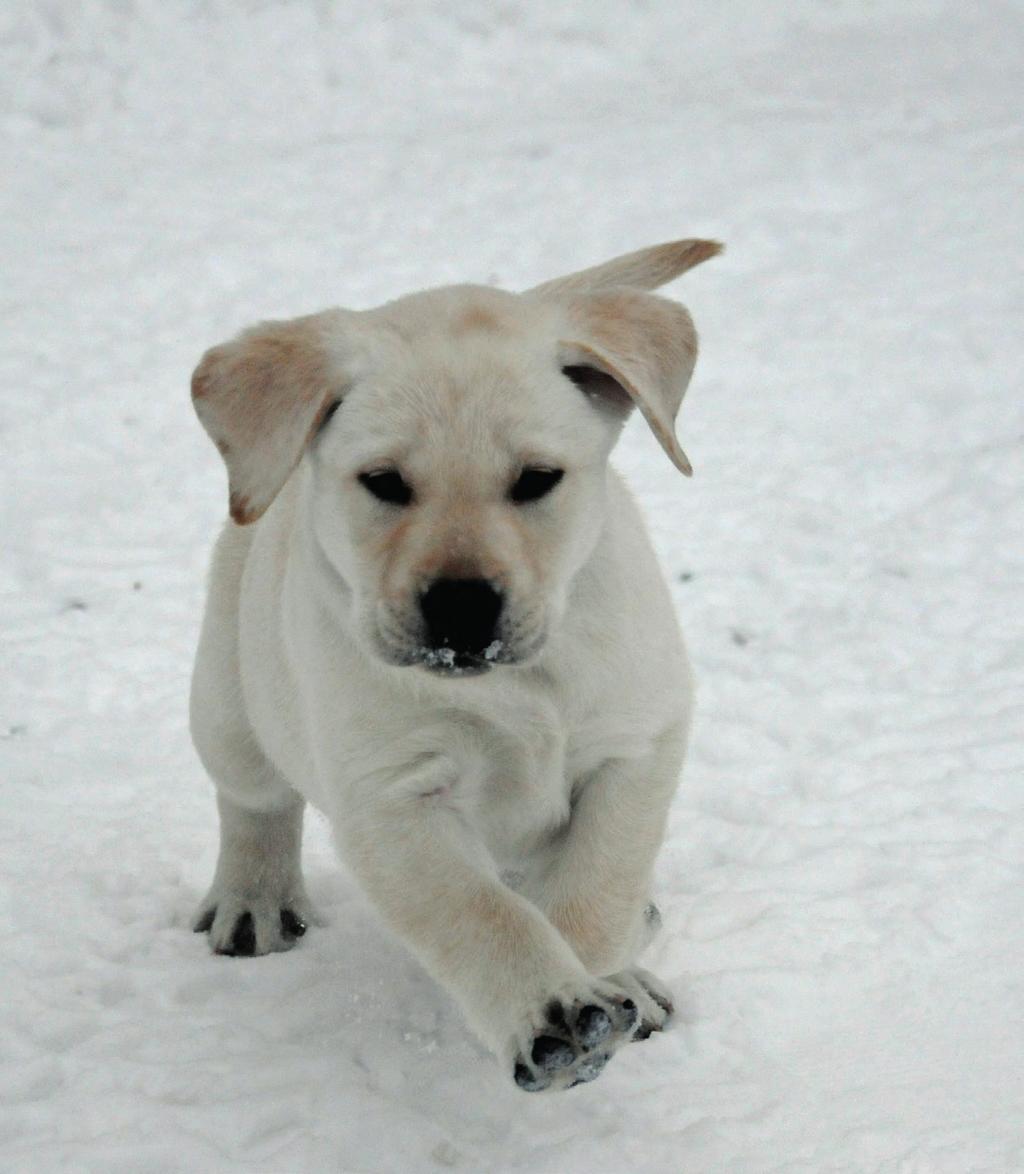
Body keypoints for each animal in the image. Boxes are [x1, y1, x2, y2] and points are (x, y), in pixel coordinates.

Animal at [190, 235, 718, 1089]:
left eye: (538, 479)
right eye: (384, 482)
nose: (463, 605)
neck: (516, 684)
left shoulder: (636, 742)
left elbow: (595, 889)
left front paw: (600, 983)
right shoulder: (392, 798)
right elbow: (480, 915)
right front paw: (554, 1011)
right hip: (227, 693)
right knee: (254, 802)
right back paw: (255, 904)